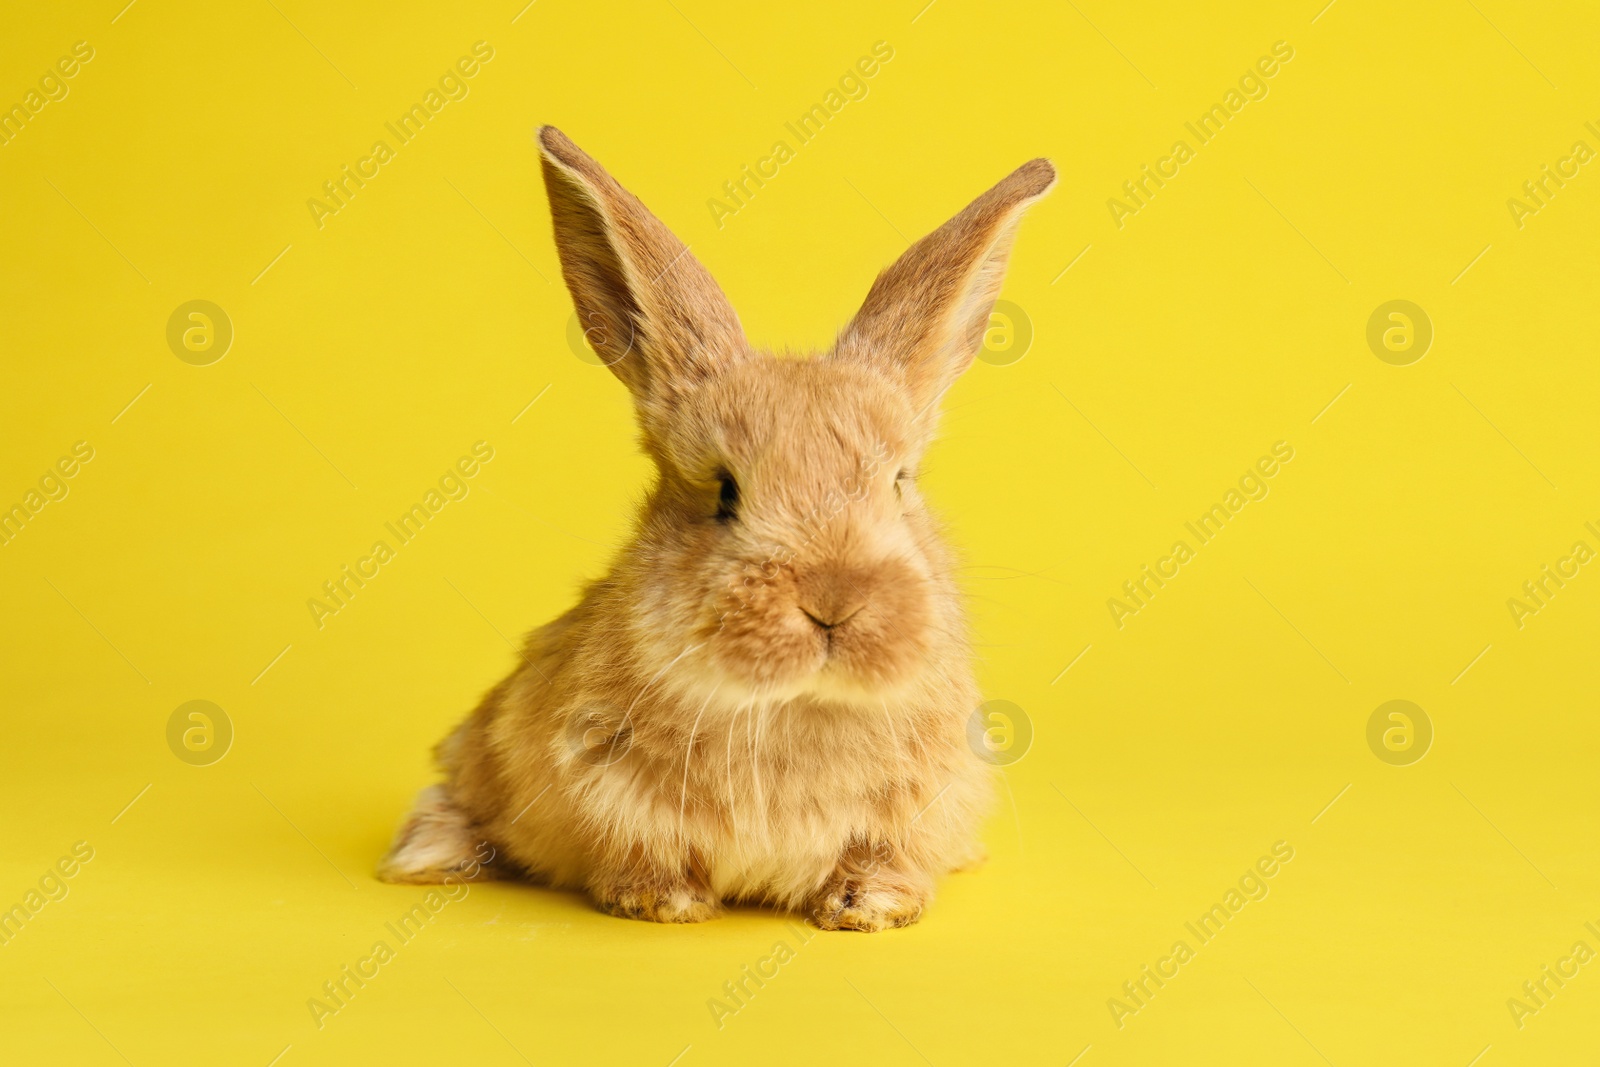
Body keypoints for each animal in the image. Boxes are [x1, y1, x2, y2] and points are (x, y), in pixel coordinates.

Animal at [376, 123, 1056, 927]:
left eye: (899, 484)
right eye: (724, 491)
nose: (833, 600)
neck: (792, 704)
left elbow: (879, 856)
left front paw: (869, 908)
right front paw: (661, 902)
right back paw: (426, 855)